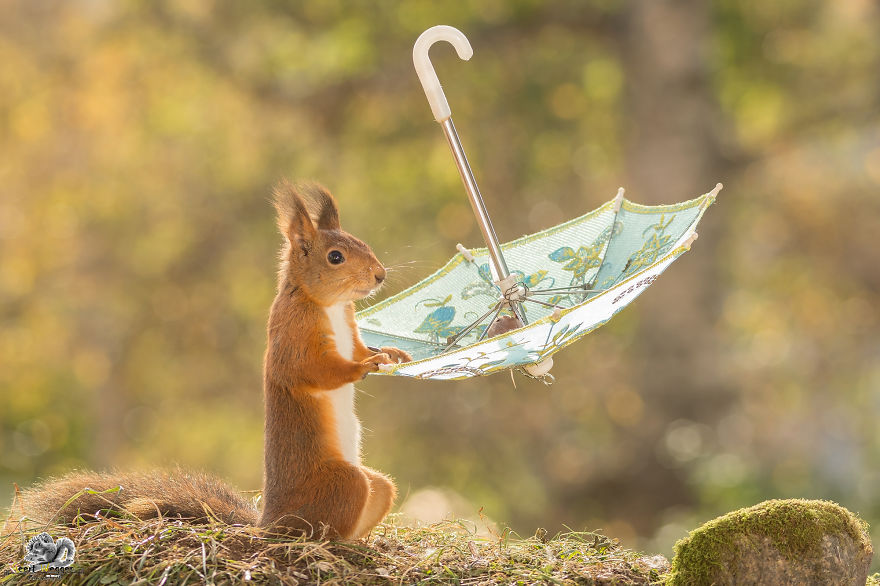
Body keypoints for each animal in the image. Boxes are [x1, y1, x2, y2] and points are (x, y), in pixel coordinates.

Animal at [6, 182, 413, 540]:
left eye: (364, 243)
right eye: (335, 257)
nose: (380, 275)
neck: (329, 305)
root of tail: (269, 523)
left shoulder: (350, 332)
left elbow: (359, 348)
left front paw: (391, 354)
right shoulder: (293, 338)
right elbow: (314, 371)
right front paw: (362, 368)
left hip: (379, 486)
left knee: (374, 494)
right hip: (340, 485)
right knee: (317, 531)